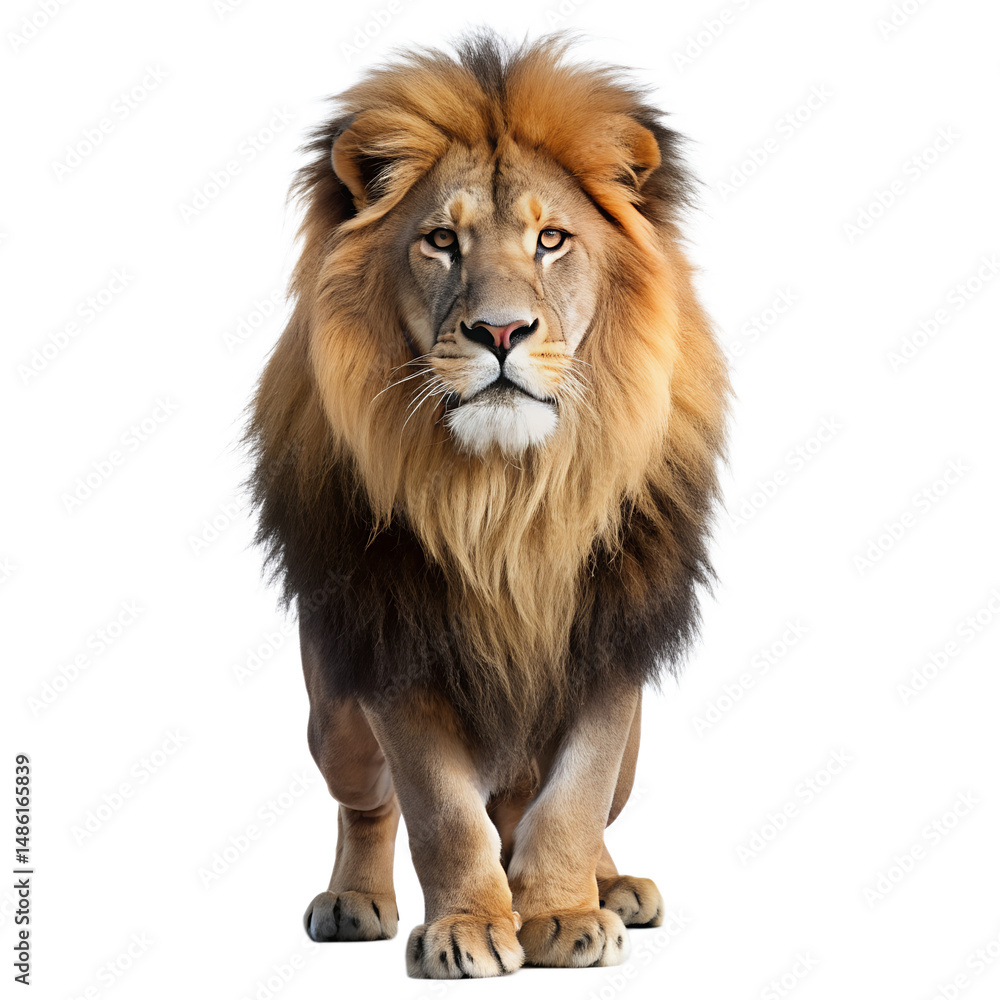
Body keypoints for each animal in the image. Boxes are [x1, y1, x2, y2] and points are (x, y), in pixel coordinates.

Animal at [246, 31, 730, 977]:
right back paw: (355, 901)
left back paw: (611, 887)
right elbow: (441, 813)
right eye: (441, 240)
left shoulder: (609, 644)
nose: (500, 333)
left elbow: (573, 798)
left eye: (551, 239)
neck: (508, 499)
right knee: (369, 804)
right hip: (334, 723)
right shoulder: (397, 645)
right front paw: (467, 927)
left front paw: (564, 914)